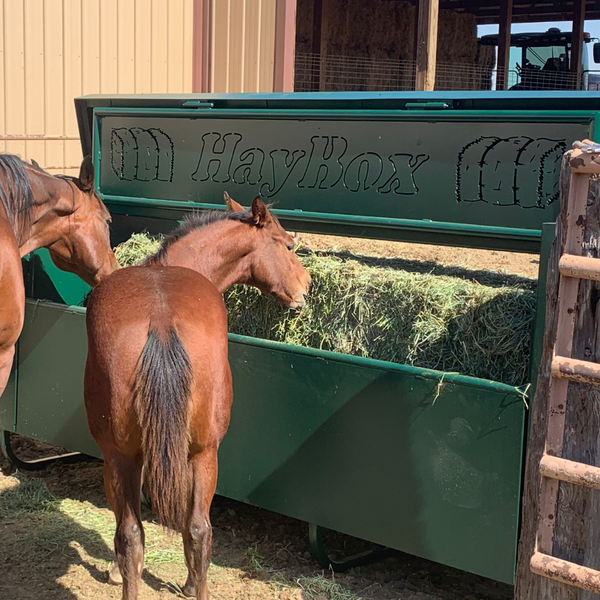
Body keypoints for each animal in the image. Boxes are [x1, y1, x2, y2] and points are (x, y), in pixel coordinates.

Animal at [84, 195, 312, 596]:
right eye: (288, 245)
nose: (308, 285)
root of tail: (160, 322)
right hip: (200, 454)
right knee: (192, 531)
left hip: (134, 457)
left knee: (147, 533)